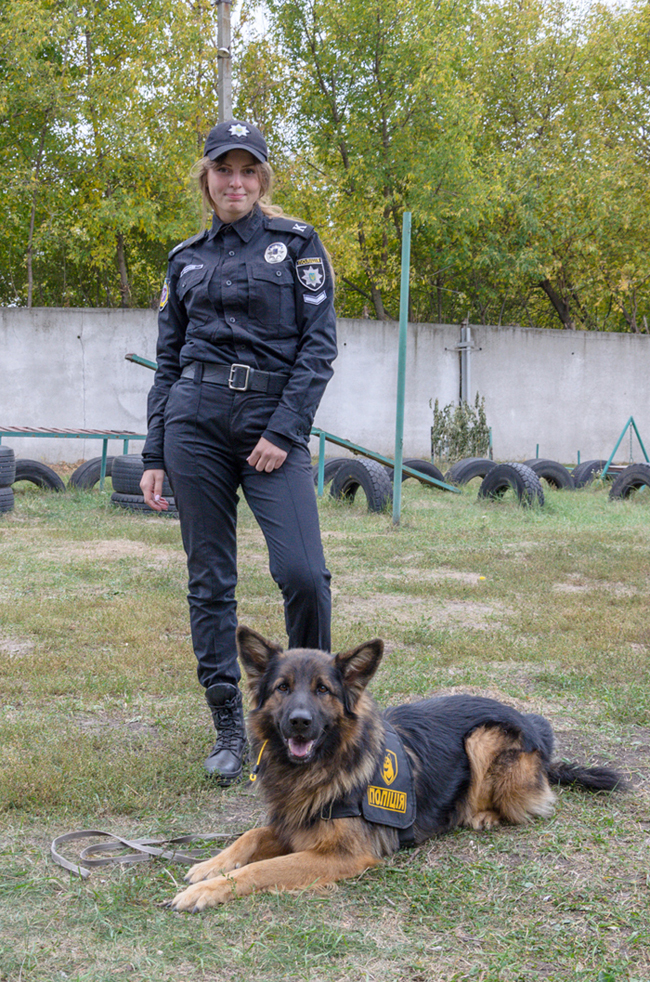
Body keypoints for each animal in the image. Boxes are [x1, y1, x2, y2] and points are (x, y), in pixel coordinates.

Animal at [169, 627, 624, 912]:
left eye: (322, 690)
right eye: (283, 688)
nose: (299, 722)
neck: (326, 765)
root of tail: (534, 726)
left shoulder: (344, 854)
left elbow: (263, 868)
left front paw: (209, 890)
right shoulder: (292, 821)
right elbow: (249, 837)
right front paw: (209, 866)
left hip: (483, 738)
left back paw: (480, 815)